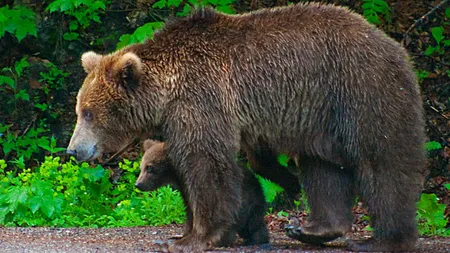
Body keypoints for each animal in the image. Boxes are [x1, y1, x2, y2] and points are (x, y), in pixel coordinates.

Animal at [67, 1, 426, 251]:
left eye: (89, 113)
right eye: (79, 109)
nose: (73, 150)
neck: (165, 92)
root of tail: (393, 45)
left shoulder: (202, 99)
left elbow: (206, 163)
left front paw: (192, 238)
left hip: (360, 89)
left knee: (382, 163)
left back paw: (382, 239)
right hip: (321, 117)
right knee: (322, 168)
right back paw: (312, 228)